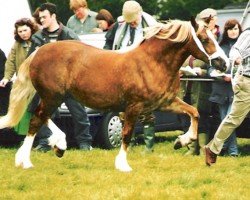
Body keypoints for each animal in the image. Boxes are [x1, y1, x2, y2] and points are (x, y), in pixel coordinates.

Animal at [0, 18, 228, 171]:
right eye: (204, 38)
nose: (223, 63)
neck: (153, 63)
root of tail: (39, 51)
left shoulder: (165, 102)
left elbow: (194, 113)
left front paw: (181, 141)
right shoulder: (134, 107)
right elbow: (126, 133)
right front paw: (123, 165)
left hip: (57, 97)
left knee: (40, 117)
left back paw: (58, 145)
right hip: (52, 96)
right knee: (36, 119)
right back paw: (26, 161)